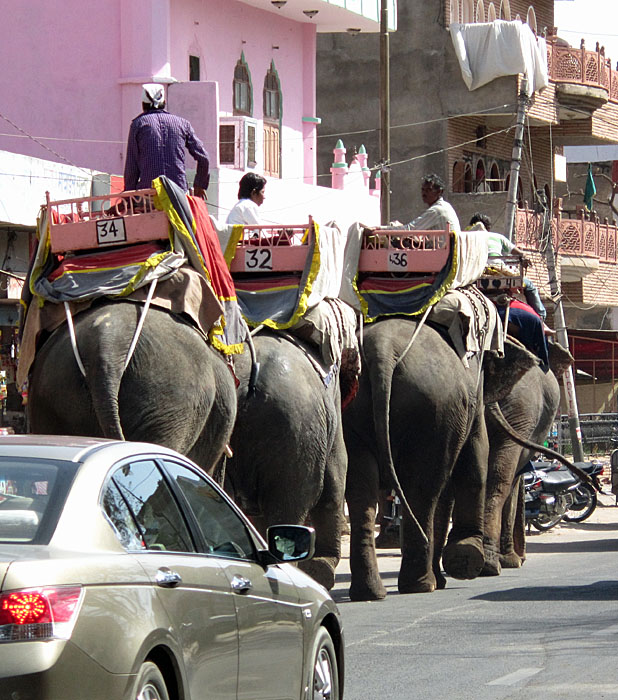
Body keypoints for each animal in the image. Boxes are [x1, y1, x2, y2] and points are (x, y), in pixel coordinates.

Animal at [343, 316, 537, 600]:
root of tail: (382, 350)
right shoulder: (472, 395)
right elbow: (475, 457)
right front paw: (464, 559)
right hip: (433, 407)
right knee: (423, 489)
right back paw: (423, 584)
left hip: (354, 408)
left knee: (362, 492)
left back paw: (371, 592)